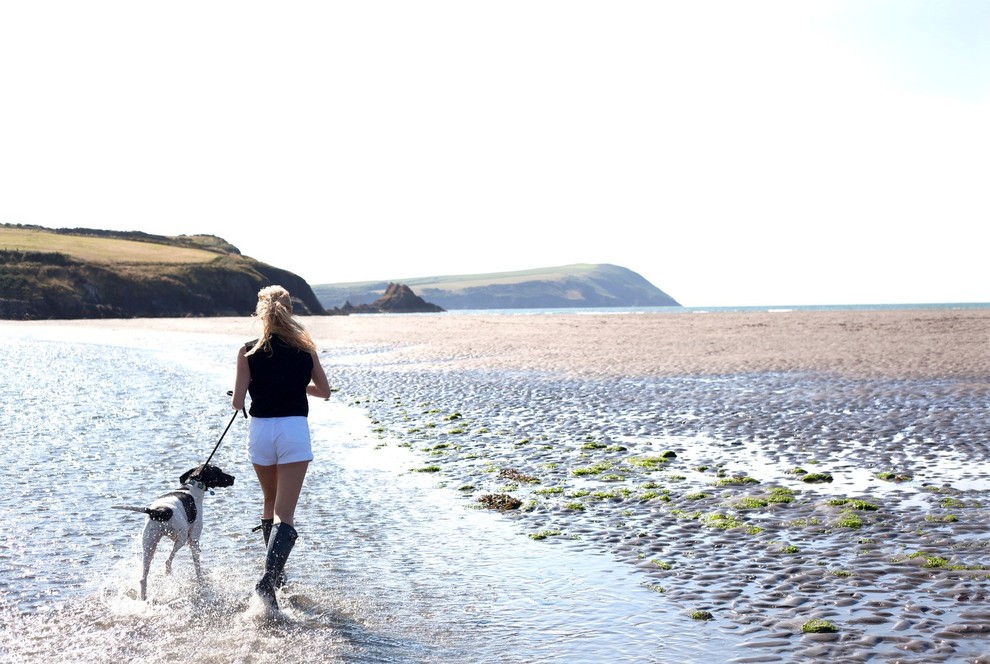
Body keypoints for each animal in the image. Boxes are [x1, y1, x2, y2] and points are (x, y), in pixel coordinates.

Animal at [114, 464, 236, 600]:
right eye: (219, 471)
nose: (233, 477)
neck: (193, 487)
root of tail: (159, 511)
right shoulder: (193, 539)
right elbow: (197, 566)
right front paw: (201, 581)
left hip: (149, 545)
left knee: (143, 578)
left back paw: (144, 598)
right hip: (181, 538)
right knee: (168, 561)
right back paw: (168, 572)